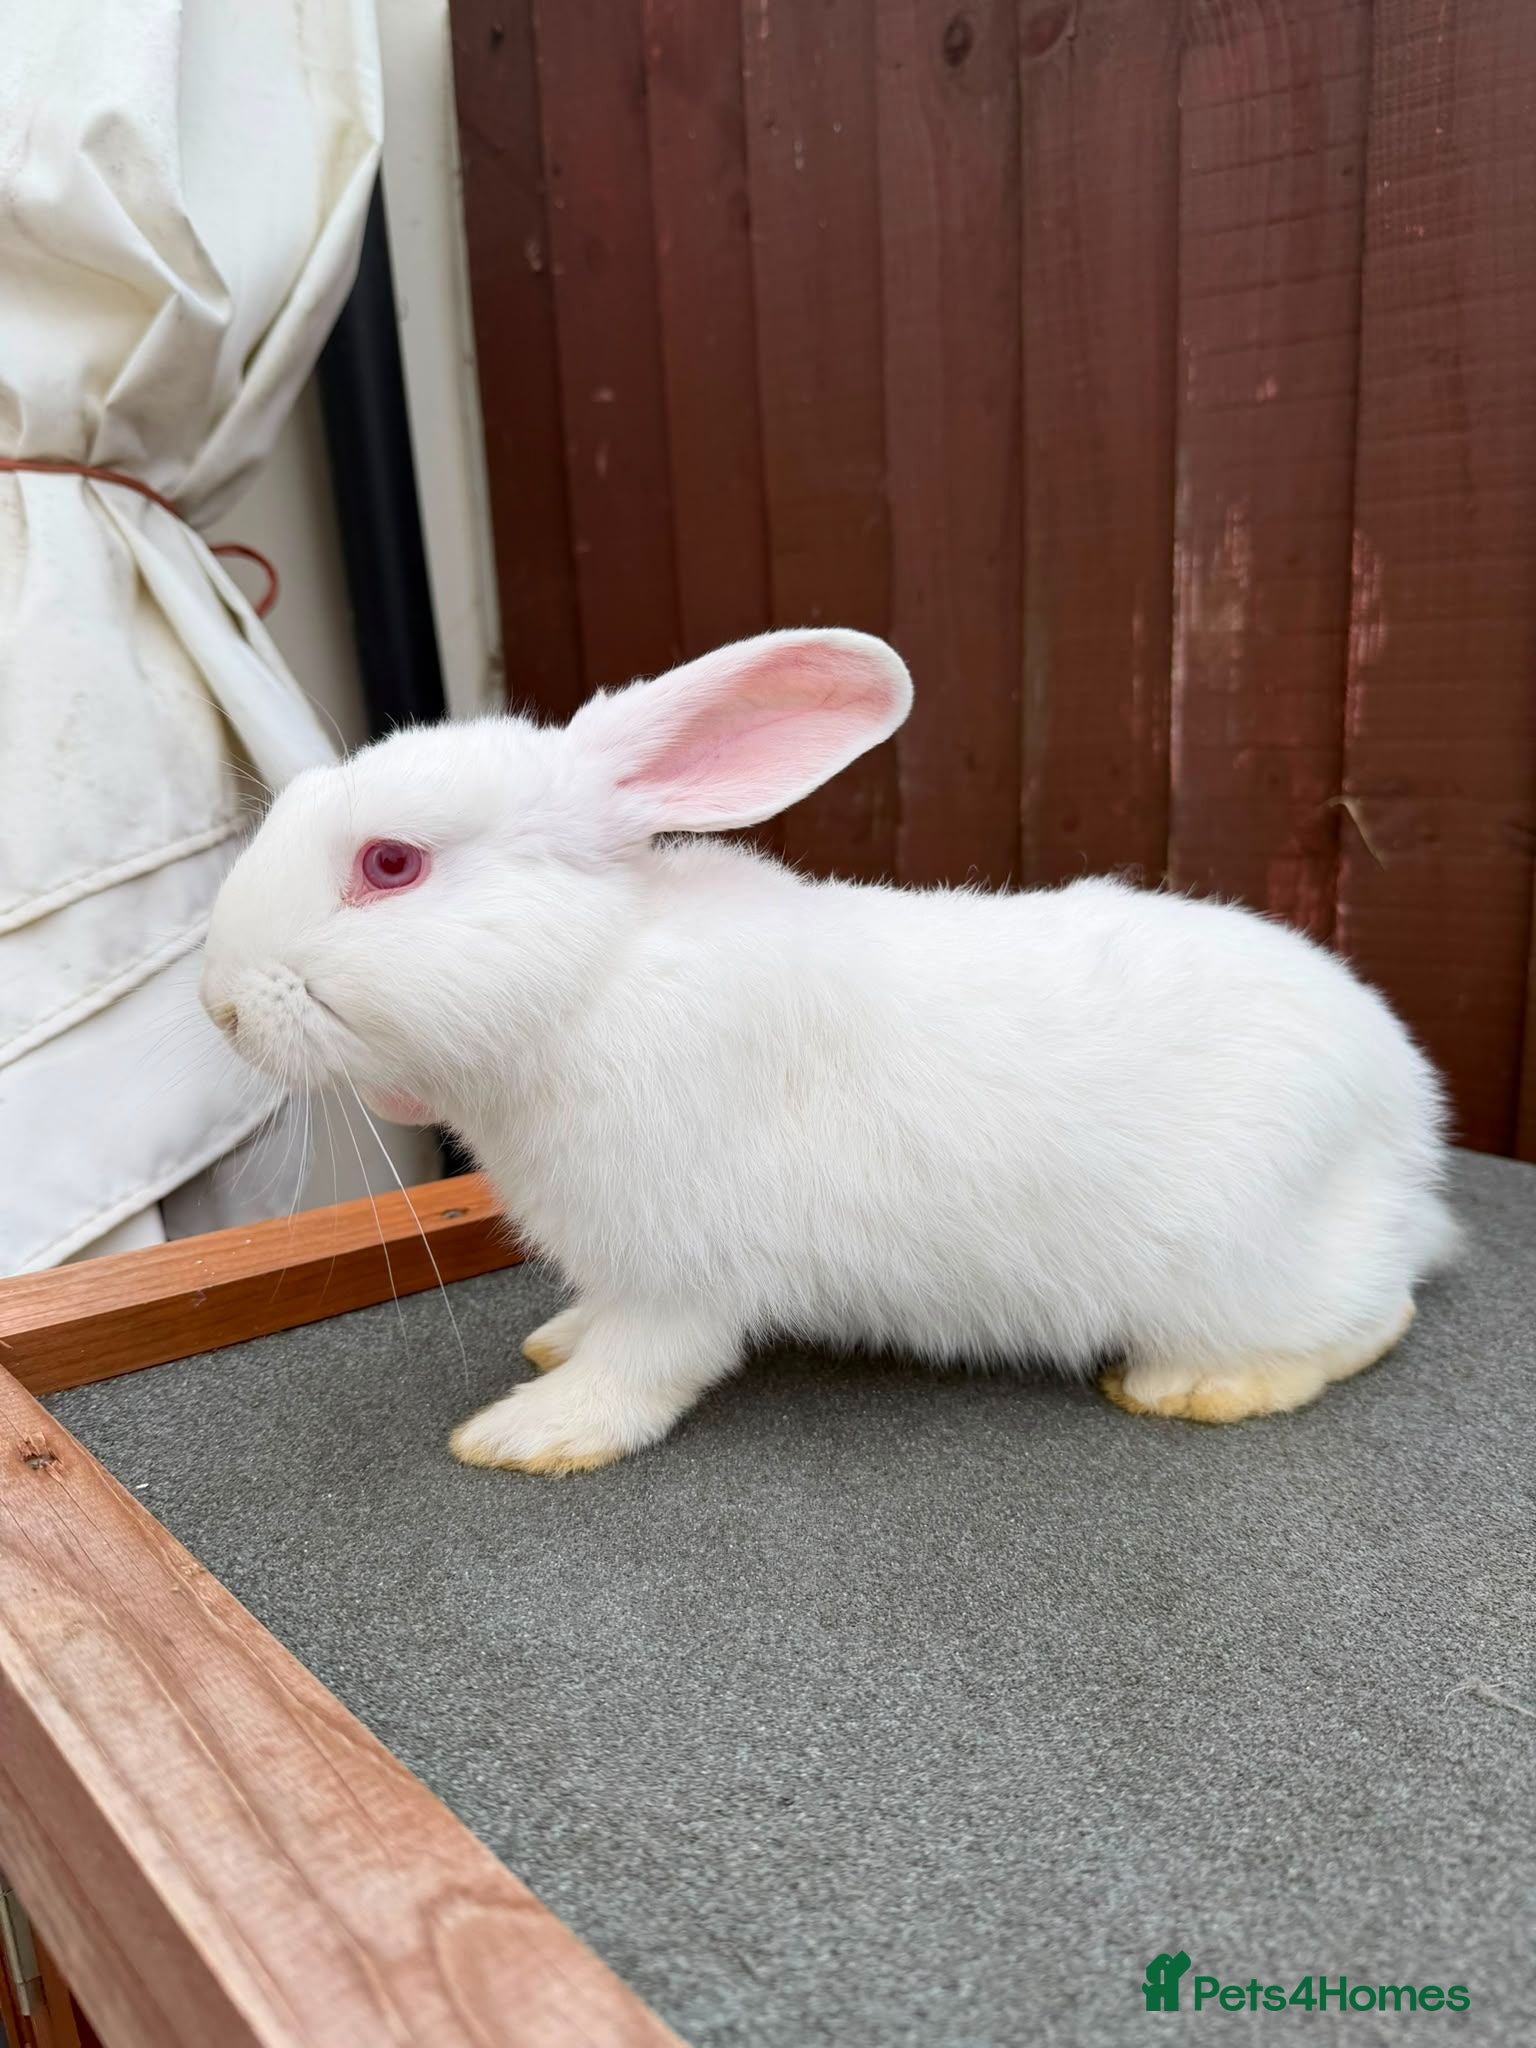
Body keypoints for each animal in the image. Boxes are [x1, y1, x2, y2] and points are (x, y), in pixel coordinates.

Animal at [200, 628, 1459, 1475]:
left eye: (391, 864)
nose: (215, 1004)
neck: (591, 976)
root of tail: (1408, 1119)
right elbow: (594, 1326)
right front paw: (552, 1346)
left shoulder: (676, 1269)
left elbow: (641, 1367)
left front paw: (526, 1433)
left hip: (1254, 1268)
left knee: (1378, 1312)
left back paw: (1200, 1386)